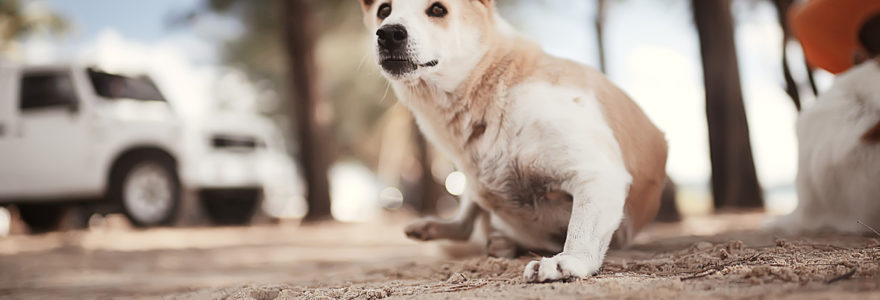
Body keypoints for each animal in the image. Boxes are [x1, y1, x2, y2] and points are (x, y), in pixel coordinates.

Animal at [358, 0, 668, 284]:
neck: (493, 88)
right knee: (465, 223)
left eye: (437, 9)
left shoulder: (598, 174)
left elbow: (580, 231)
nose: (388, 34)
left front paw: (568, 260)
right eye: (384, 10)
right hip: (475, 184)